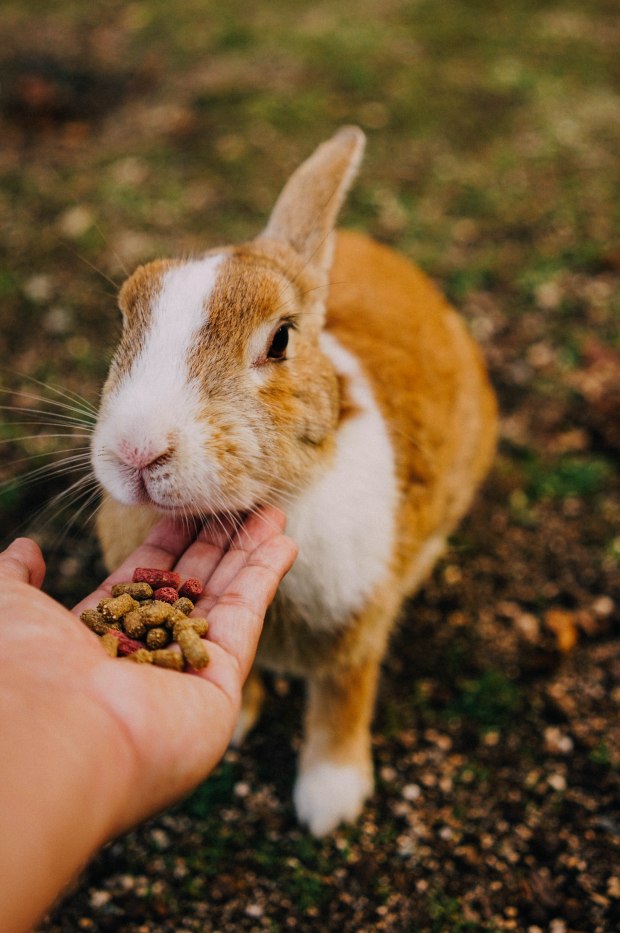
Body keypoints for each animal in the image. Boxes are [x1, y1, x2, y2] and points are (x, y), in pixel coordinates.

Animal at [91, 126, 498, 836]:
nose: (137, 451)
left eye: (281, 339)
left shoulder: (357, 628)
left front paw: (330, 802)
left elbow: (343, 697)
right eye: (124, 323)